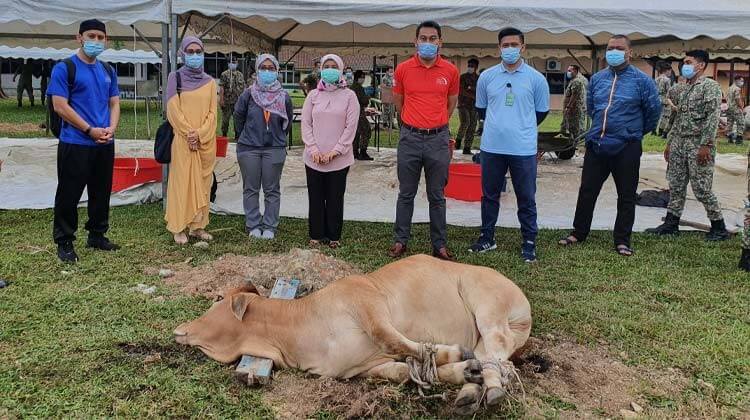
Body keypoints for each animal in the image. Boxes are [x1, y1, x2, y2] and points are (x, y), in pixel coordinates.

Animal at [173, 253, 532, 414]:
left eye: (218, 300)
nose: (180, 330)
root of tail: (521, 298)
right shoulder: (363, 367)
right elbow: (404, 370)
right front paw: (461, 371)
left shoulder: (370, 307)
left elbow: (400, 342)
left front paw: (456, 357)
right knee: (491, 355)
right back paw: (471, 389)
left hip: (488, 306)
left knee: (497, 350)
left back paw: (491, 388)